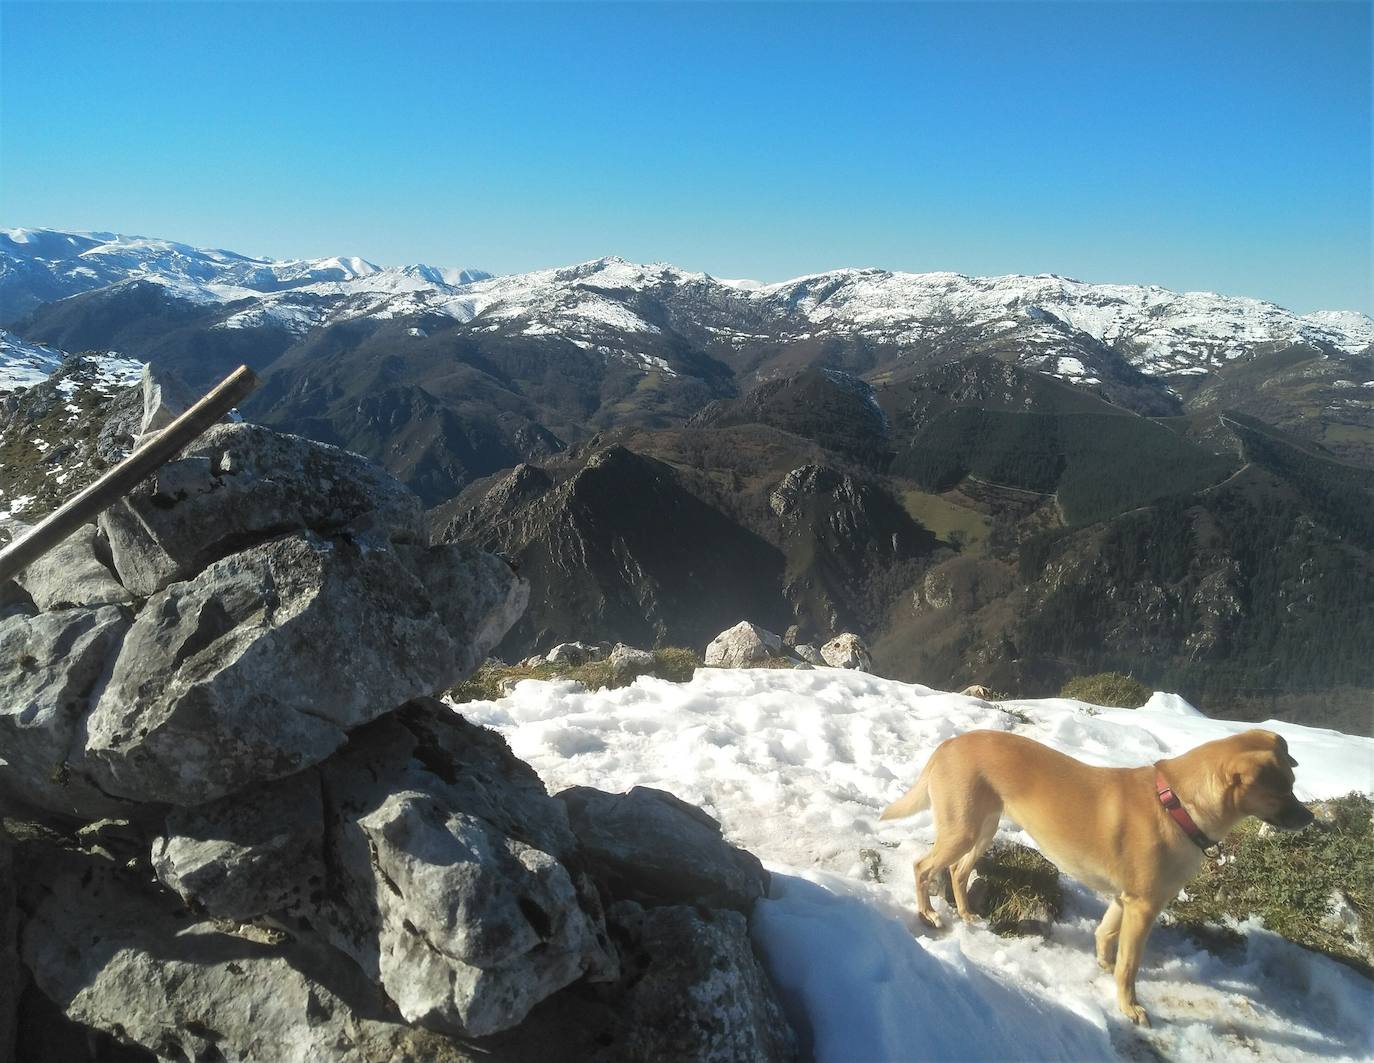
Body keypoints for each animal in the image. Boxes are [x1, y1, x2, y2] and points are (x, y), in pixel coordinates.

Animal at [879, 730, 1308, 1021]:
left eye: (1293, 785)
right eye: (1281, 791)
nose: (1310, 819)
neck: (1176, 806)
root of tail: (949, 744)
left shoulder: (1125, 899)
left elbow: (1106, 933)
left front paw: (1102, 964)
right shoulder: (1144, 906)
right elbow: (1129, 965)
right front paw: (1130, 1007)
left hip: (984, 828)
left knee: (958, 870)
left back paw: (967, 913)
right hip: (962, 830)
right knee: (923, 867)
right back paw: (929, 914)